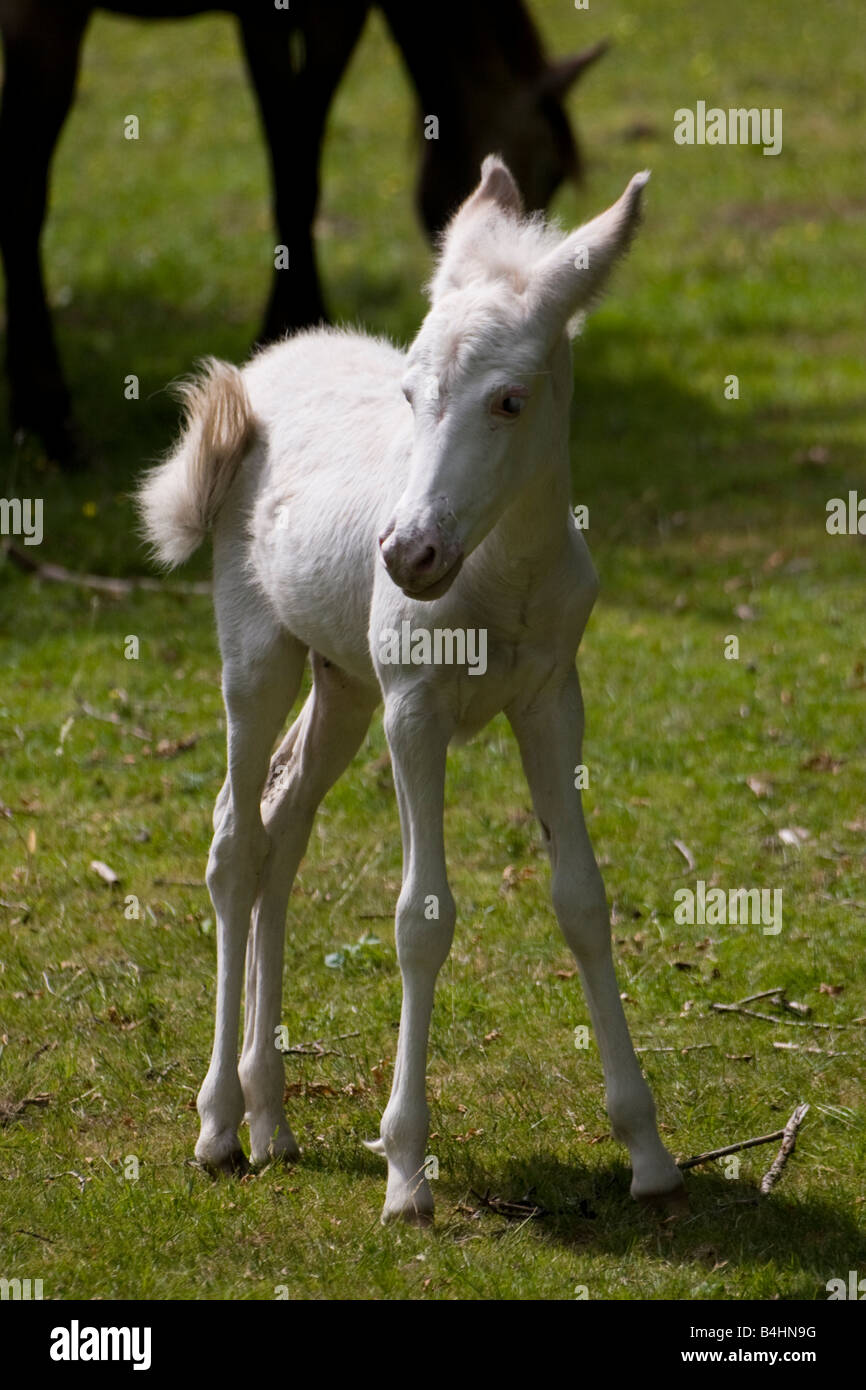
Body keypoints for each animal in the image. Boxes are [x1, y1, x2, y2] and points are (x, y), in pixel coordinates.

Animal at [139, 149, 686, 1217]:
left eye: (510, 399)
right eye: (409, 393)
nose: (406, 554)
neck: (501, 578)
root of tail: (263, 370)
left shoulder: (552, 695)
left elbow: (582, 896)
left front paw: (647, 1149)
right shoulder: (415, 706)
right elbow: (420, 916)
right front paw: (404, 1170)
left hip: (343, 681)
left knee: (282, 823)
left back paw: (272, 1120)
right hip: (260, 650)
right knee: (233, 839)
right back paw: (219, 1124)